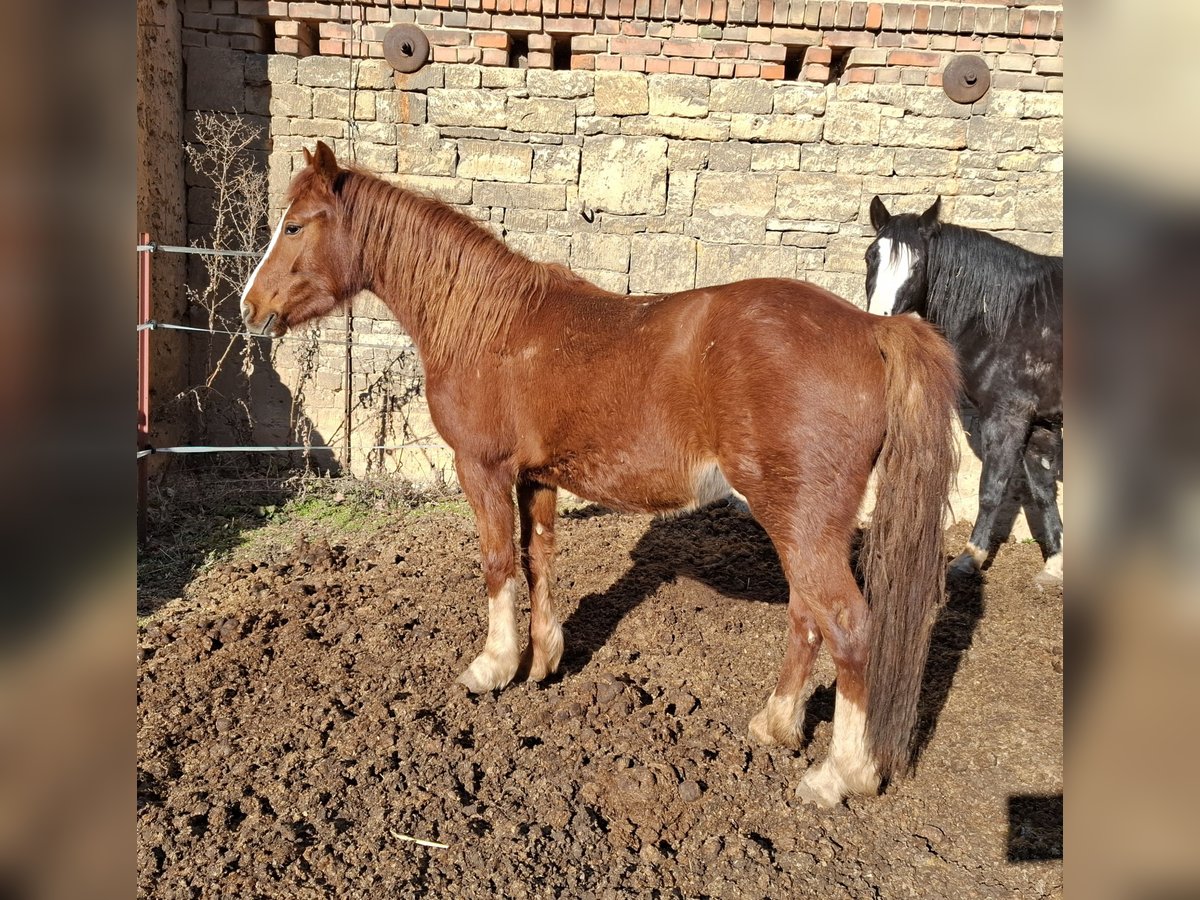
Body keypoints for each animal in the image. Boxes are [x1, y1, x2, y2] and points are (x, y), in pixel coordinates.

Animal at [238, 142, 960, 811]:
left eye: (295, 225)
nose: (249, 307)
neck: (489, 324)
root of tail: (873, 329)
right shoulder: (537, 478)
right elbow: (538, 559)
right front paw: (543, 660)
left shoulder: (482, 469)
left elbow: (498, 561)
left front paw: (492, 667)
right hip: (801, 525)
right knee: (807, 615)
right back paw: (775, 726)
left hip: (800, 521)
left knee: (846, 625)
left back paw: (839, 775)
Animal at [868, 196, 1065, 585]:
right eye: (872, 256)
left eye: (918, 265)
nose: (882, 325)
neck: (1011, 315)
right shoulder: (1041, 422)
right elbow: (1043, 489)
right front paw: (1056, 563)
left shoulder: (1009, 416)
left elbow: (991, 489)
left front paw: (970, 557)